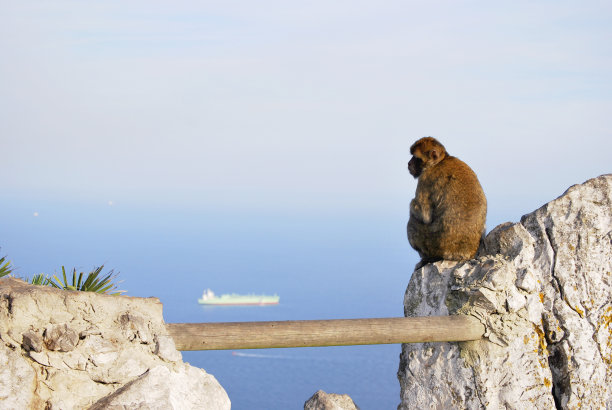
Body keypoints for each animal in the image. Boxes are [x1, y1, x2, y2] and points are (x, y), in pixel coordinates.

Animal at [406, 136, 488, 268]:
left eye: (416, 158)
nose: (409, 163)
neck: (440, 161)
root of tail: (466, 253)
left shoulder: (425, 178)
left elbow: (424, 214)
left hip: (433, 245)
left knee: (413, 222)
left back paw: (427, 258)